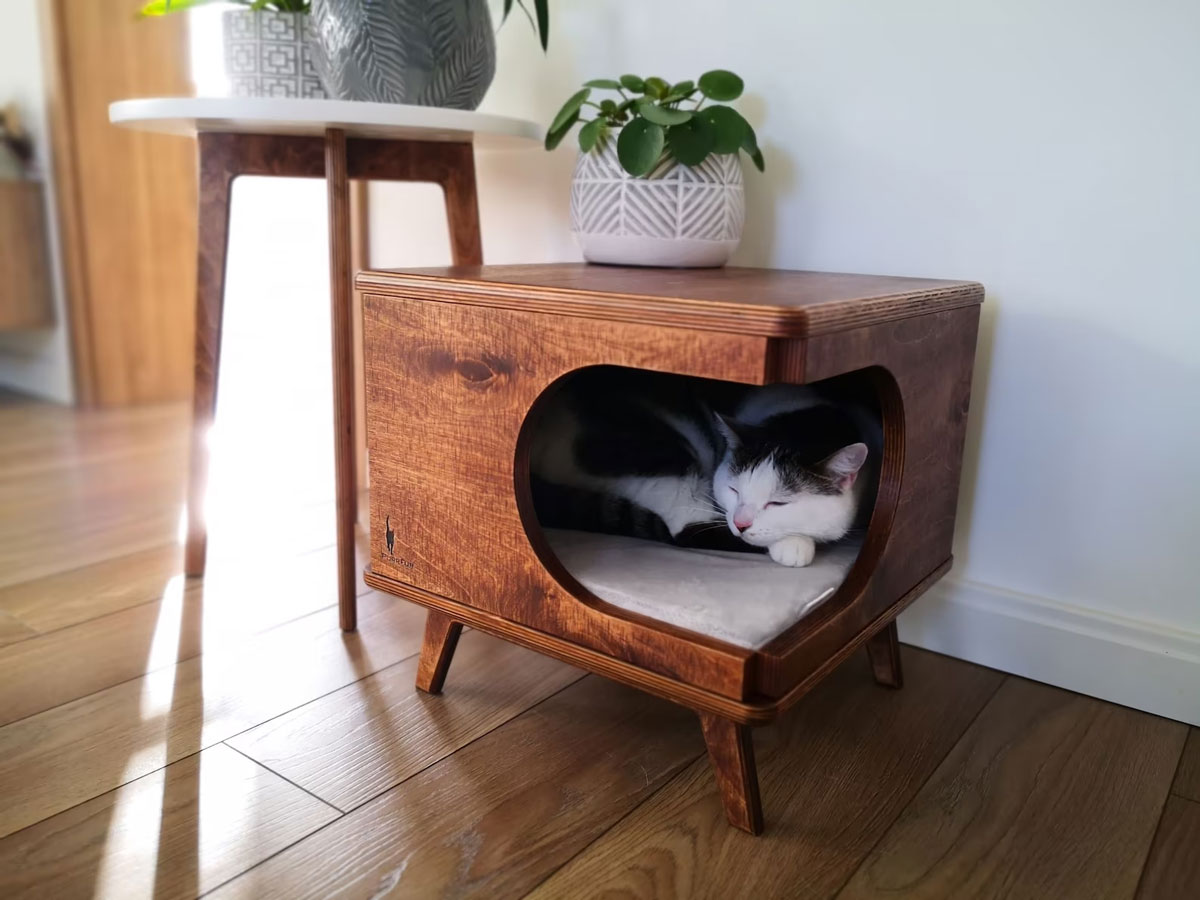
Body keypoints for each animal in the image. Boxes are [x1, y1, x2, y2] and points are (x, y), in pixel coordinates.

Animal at [530, 369, 878, 566]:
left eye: (778, 502)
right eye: (734, 490)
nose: (740, 522)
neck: (803, 419)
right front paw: (794, 545)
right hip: (658, 452)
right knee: (687, 528)